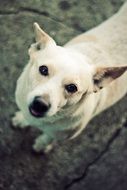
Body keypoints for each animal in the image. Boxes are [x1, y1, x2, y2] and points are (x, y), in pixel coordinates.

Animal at [12, 2, 126, 153]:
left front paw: (42, 144)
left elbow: (49, 137)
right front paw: (22, 119)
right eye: (43, 69)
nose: (40, 104)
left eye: (72, 88)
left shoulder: (61, 135)